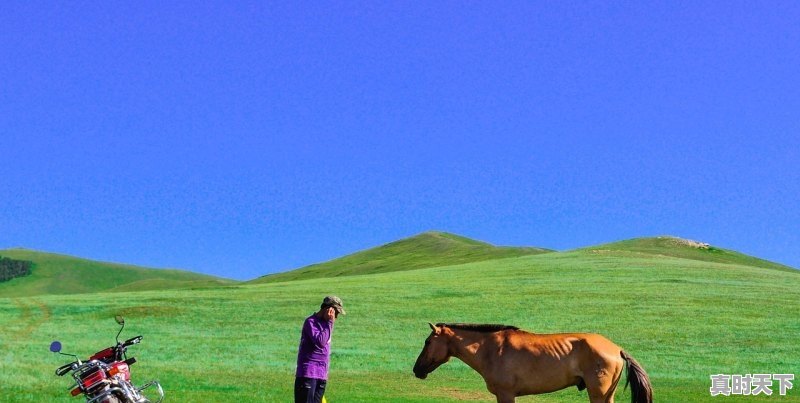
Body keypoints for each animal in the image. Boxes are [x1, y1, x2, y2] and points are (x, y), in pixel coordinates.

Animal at [416, 324, 652, 403]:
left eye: (428, 342)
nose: (417, 369)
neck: (491, 349)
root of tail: (617, 348)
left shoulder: (506, 394)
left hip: (598, 393)